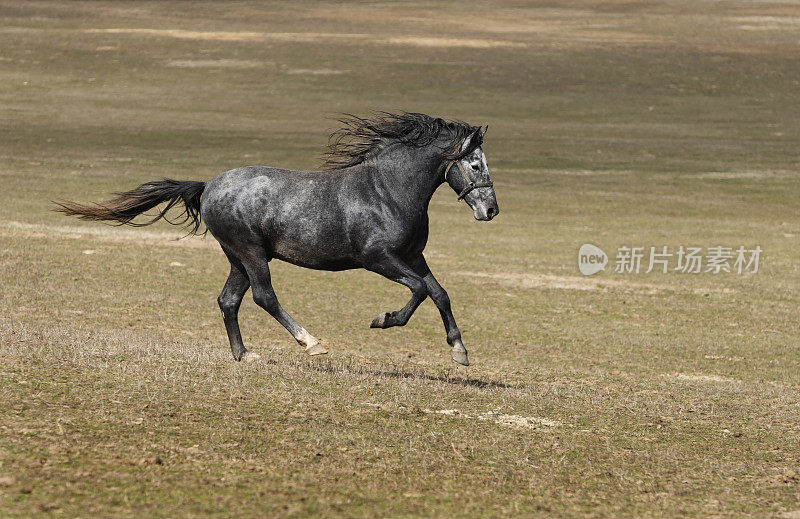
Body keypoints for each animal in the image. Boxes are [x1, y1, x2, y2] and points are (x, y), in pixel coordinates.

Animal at [57, 112, 500, 366]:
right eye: (476, 164)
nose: (491, 210)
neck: (387, 190)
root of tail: (209, 186)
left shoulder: (414, 255)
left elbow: (439, 292)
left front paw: (460, 352)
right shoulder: (378, 258)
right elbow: (418, 291)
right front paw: (383, 319)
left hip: (238, 257)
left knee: (229, 300)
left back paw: (244, 355)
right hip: (251, 252)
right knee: (263, 297)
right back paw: (312, 343)